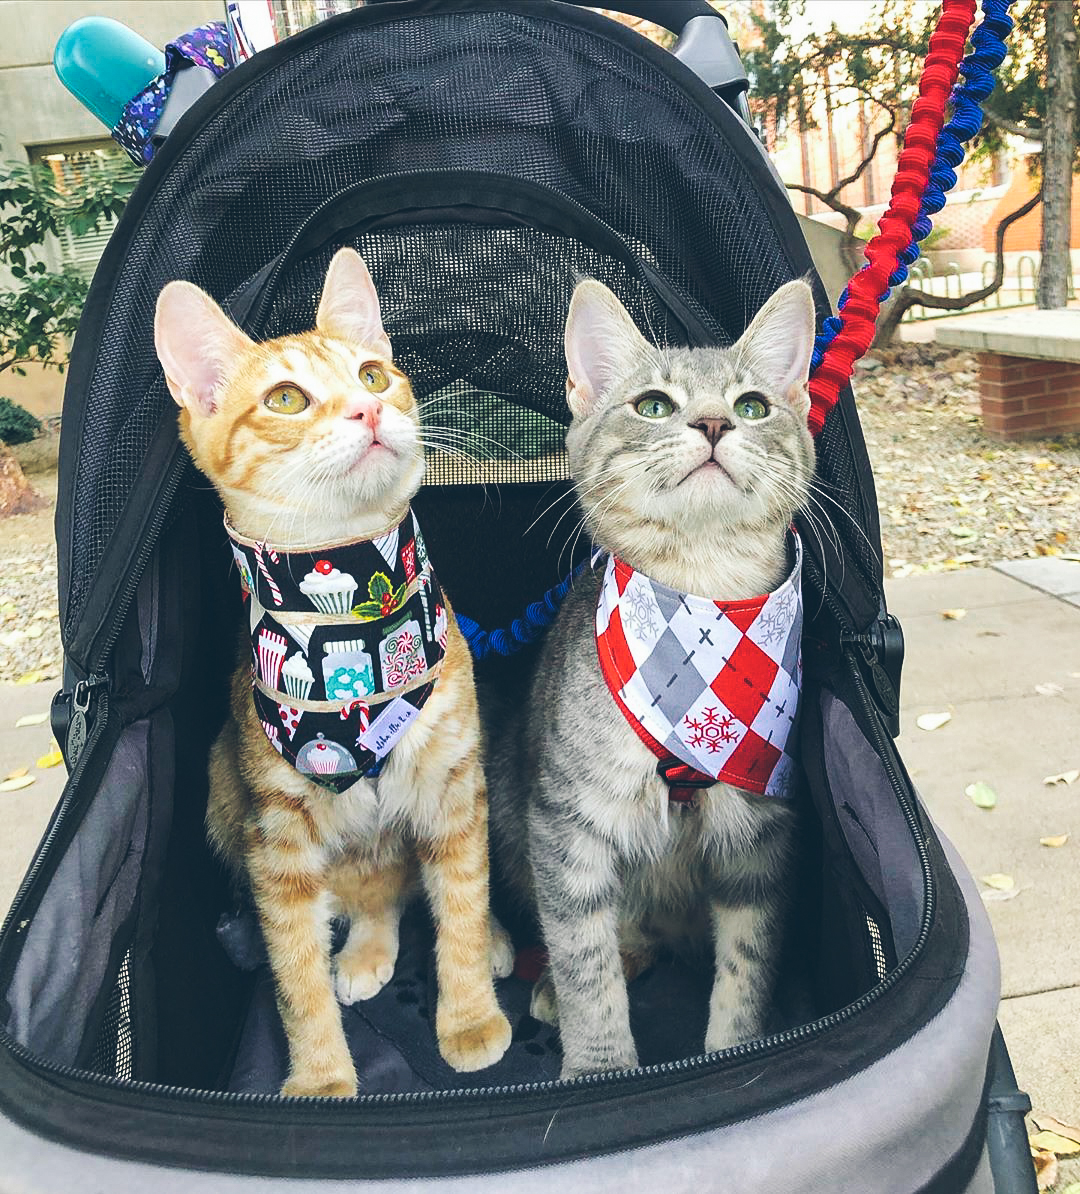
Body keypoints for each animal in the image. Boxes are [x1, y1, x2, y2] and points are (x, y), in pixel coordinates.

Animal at [151, 247, 513, 1093]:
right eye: (285, 399)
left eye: (375, 375)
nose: (368, 412)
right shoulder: (276, 843)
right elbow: (294, 970)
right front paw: (319, 1074)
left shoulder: (455, 788)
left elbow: (461, 898)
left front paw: (469, 1013)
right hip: (223, 787)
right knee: (371, 894)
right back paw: (367, 948)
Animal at [489, 274, 816, 1079]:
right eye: (654, 406)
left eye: (753, 406)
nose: (713, 424)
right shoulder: (567, 828)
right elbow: (586, 960)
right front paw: (599, 1067)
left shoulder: (762, 837)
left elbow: (748, 962)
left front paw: (737, 1051)